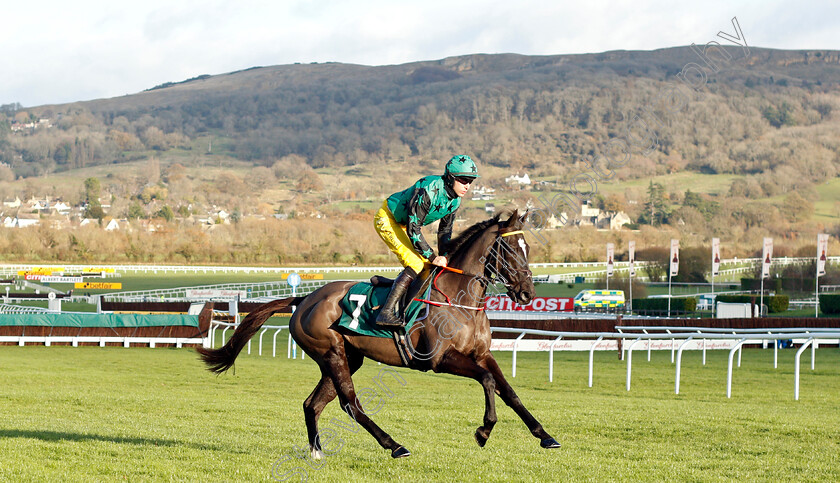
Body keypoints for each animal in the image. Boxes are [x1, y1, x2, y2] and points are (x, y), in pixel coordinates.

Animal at [199, 214, 560, 460]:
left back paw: (317, 452)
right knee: (350, 403)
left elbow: (509, 391)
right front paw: (484, 430)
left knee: (313, 403)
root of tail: (304, 300)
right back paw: (395, 445)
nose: (527, 293)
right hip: (332, 353)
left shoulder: (483, 353)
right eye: (509, 248)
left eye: (527, 247)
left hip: (348, 357)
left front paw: (545, 435)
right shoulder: (440, 359)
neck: (461, 299)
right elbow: (487, 380)